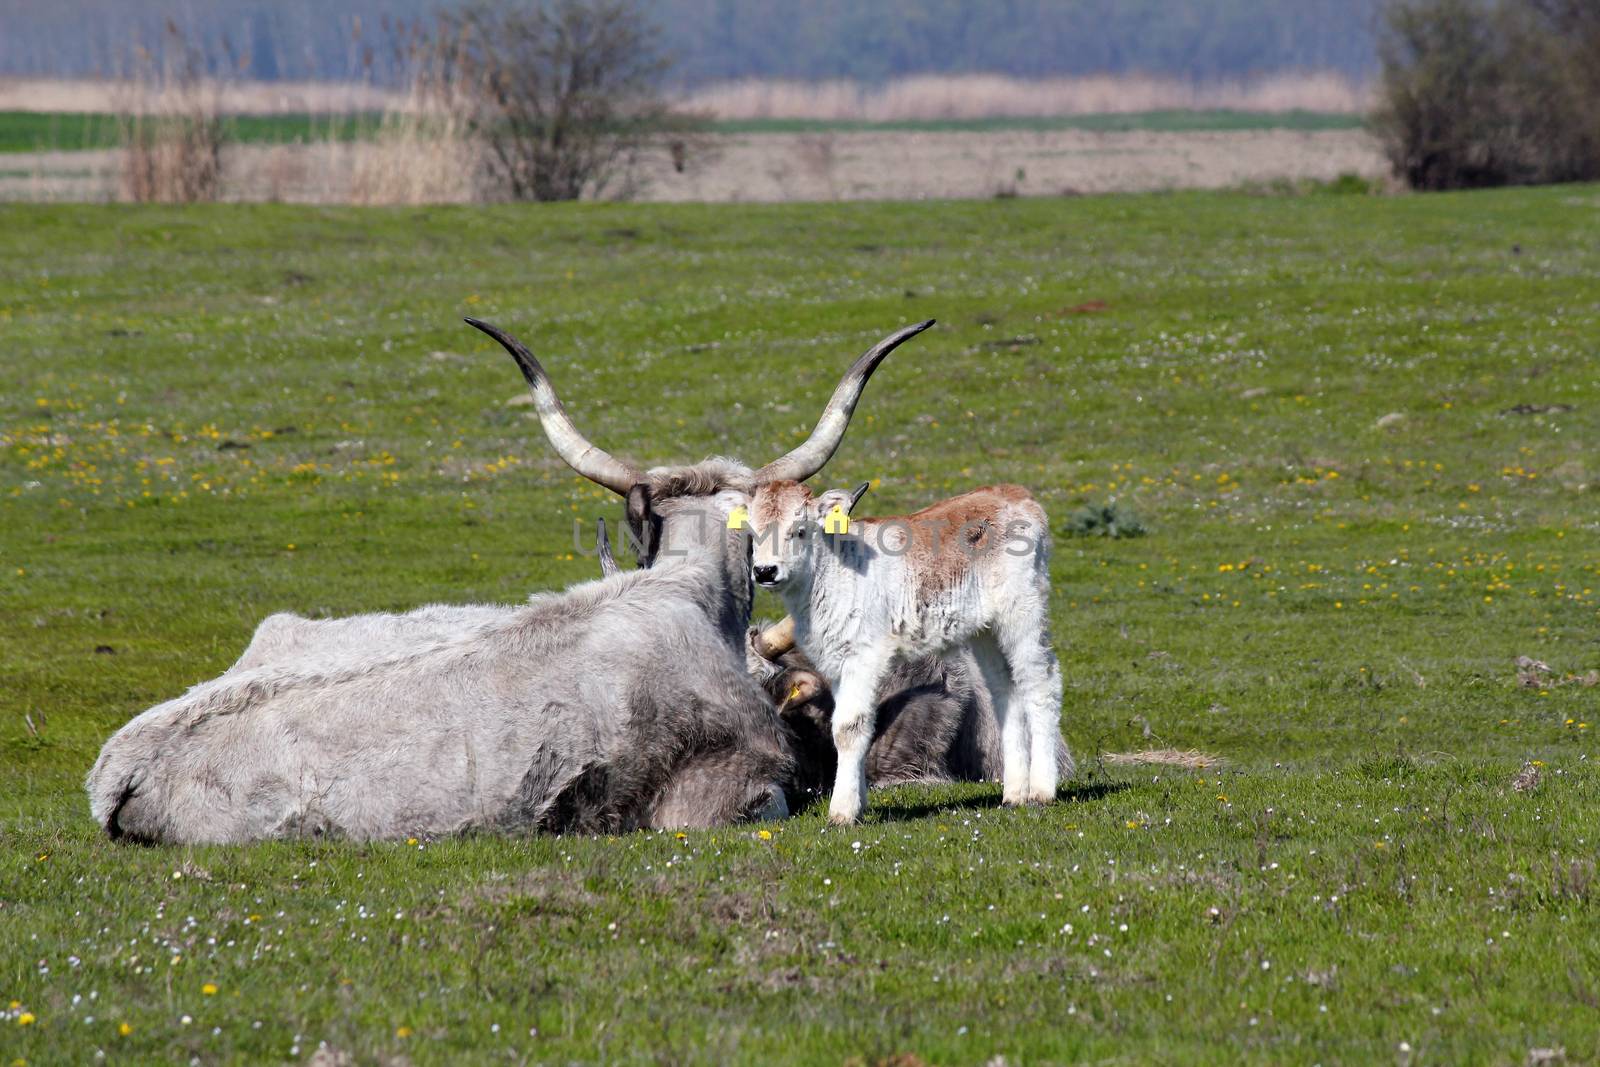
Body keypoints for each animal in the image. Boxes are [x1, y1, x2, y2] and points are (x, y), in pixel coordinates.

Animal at [745, 483, 1062, 825]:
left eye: (799, 530)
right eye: (752, 532)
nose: (765, 571)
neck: (835, 573)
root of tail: (1015, 493)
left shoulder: (863, 659)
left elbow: (849, 727)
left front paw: (842, 811)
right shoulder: (837, 667)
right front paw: (858, 801)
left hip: (1023, 614)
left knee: (1041, 683)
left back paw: (1041, 790)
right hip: (986, 633)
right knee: (1005, 690)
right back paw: (1014, 794)